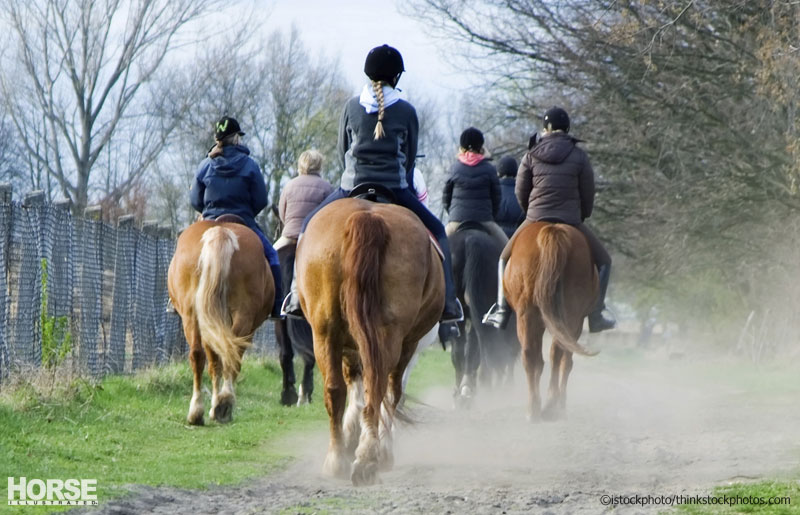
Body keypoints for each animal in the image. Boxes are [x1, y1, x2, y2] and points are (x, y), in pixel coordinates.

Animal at [167, 222, 274, 428]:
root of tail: (220, 231)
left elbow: (213, 362)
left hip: (192, 314)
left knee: (198, 355)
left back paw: (197, 411)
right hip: (243, 316)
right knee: (231, 355)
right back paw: (224, 403)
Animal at [294, 196, 444, 486]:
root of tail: (367, 216)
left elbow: (355, 388)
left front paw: (351, 436)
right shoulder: (407, 346)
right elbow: (384, 391)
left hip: (325, 332)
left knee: (337, 389)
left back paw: (339, 460)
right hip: (390, 337)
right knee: (380, 387)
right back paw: (369, 456)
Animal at [506, 224, 600, 422]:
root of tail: (552, 229)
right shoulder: (576, 323)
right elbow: (567, 361)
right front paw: (561, 403)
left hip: (528, 313)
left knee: (532, 355)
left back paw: (534, 407)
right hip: (569, 314)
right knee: (556, 354)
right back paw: (550, 404)